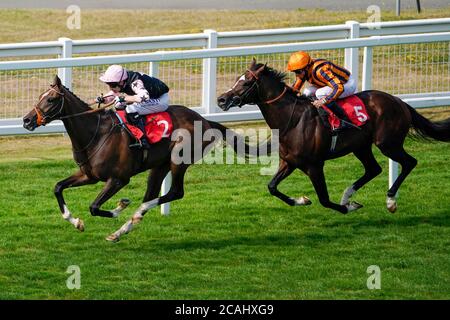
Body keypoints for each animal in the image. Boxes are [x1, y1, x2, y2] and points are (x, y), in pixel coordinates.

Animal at [22, 75, 260, 240]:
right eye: (41, 96)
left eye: (51, 99)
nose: (26, 120)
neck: (95, 133)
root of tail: (205, 120)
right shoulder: (88, 175)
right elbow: (58, 187)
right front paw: (76, 222)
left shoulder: (118, 179)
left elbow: (94, 207)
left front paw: (120, 206)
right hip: (159, 166)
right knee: (152, 194)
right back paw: (122, 230)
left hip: (179, 161)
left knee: (175, 192)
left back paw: (132, 216)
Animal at [218, 59, 450, 215]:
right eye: (237, 79)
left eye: (246, 82)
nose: (221, 100)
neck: (292, 121)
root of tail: (399, 102)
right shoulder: (290, 162)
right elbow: (272, 187)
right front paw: (302, 200)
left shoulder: (314, 165)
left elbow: (324, 199)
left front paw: (348, 208)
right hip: (361, 146)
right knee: (374, 169)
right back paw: (348, 195)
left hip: (387, 143)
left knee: (409, 162)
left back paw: (390, 200)